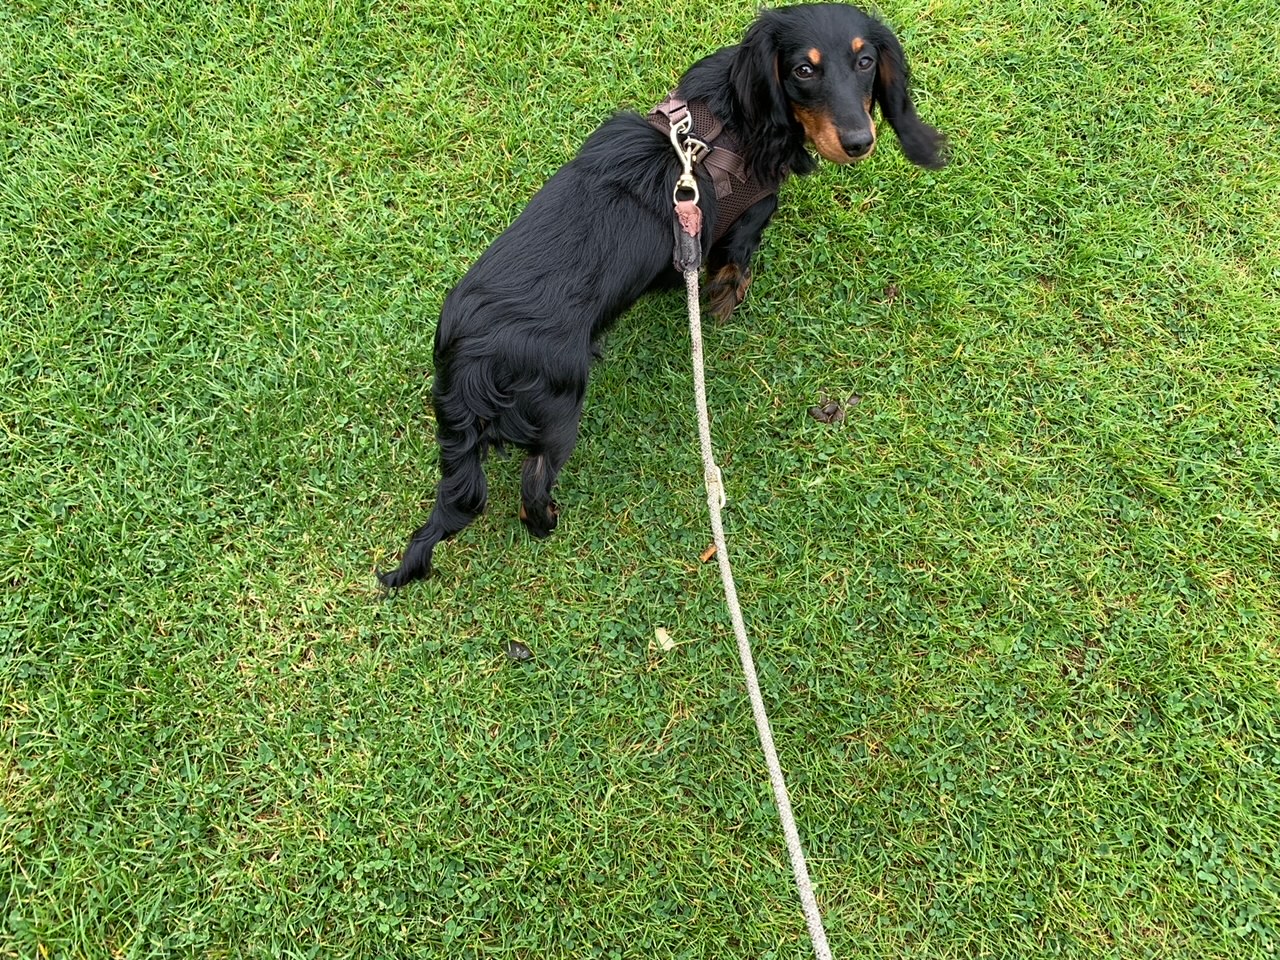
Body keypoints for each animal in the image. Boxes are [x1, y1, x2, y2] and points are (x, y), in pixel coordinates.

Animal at [373, 3, 947, 591]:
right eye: (803, 71)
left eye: (865, 61)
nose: (859, 142)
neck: (727, 122)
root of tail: (474, 358)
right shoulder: (750, 212)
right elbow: (739, 259)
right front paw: (727, 299)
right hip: (558, 414)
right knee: (533, 484)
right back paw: (546, 520)